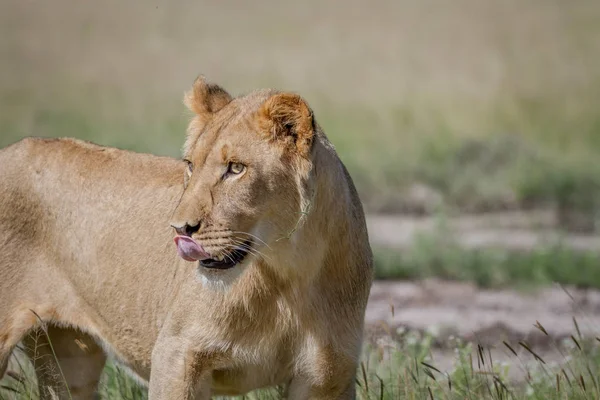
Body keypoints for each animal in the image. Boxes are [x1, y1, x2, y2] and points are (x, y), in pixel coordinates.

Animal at [0, 76, 372, 398]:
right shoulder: (176, 354)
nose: (179, 229)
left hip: (69, 358)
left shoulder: (326, 376)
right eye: (191, 165)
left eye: (236, 168)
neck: (289, 274)